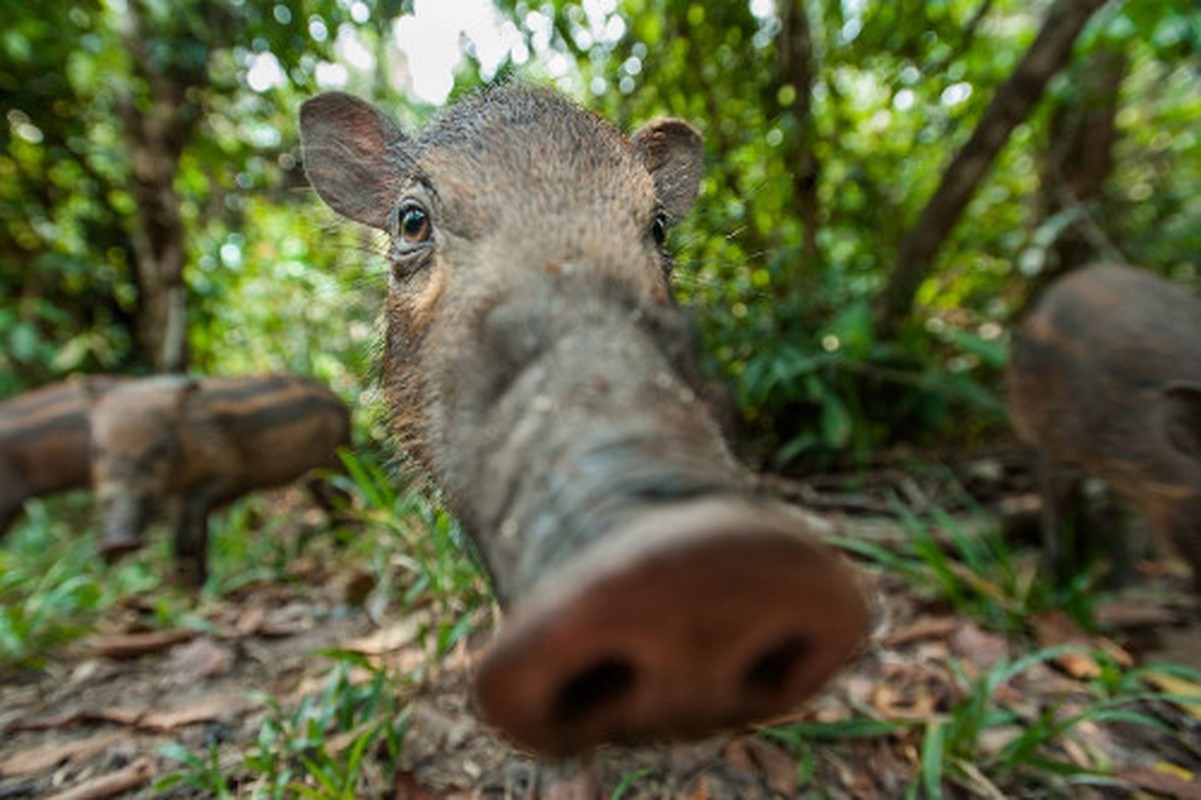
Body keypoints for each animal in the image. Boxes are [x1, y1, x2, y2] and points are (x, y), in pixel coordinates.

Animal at [87, 369, 350, 583]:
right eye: (100, 450)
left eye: (160, 448)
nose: (118, 544)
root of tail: (340, 402)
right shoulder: (177, 497)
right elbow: (183, 538)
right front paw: (190, 586)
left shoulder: (228, 477)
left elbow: (192, 534)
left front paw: (198, 585)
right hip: (315, 476)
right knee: (330, 504)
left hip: (337, 461)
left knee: (344, 498)